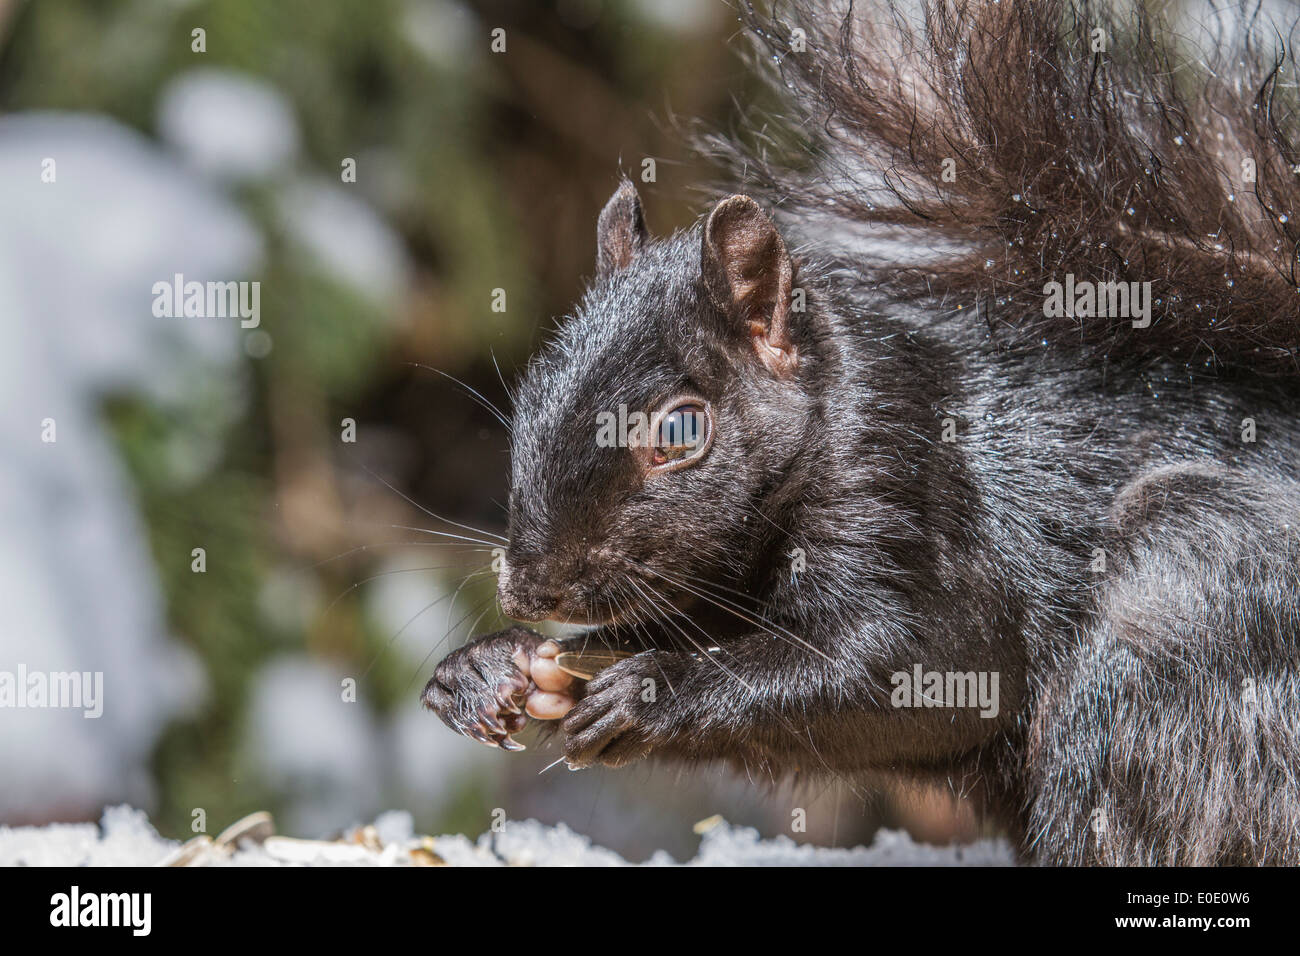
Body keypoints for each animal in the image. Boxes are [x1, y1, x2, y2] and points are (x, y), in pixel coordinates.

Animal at [423, 0, 1300, 868]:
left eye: (681, 429)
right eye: (533, 389)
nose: (532, 586)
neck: (829, 424)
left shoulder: (911, 495)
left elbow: (928, 667)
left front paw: (651, 690)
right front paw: (488, 668)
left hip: (1191, 592)